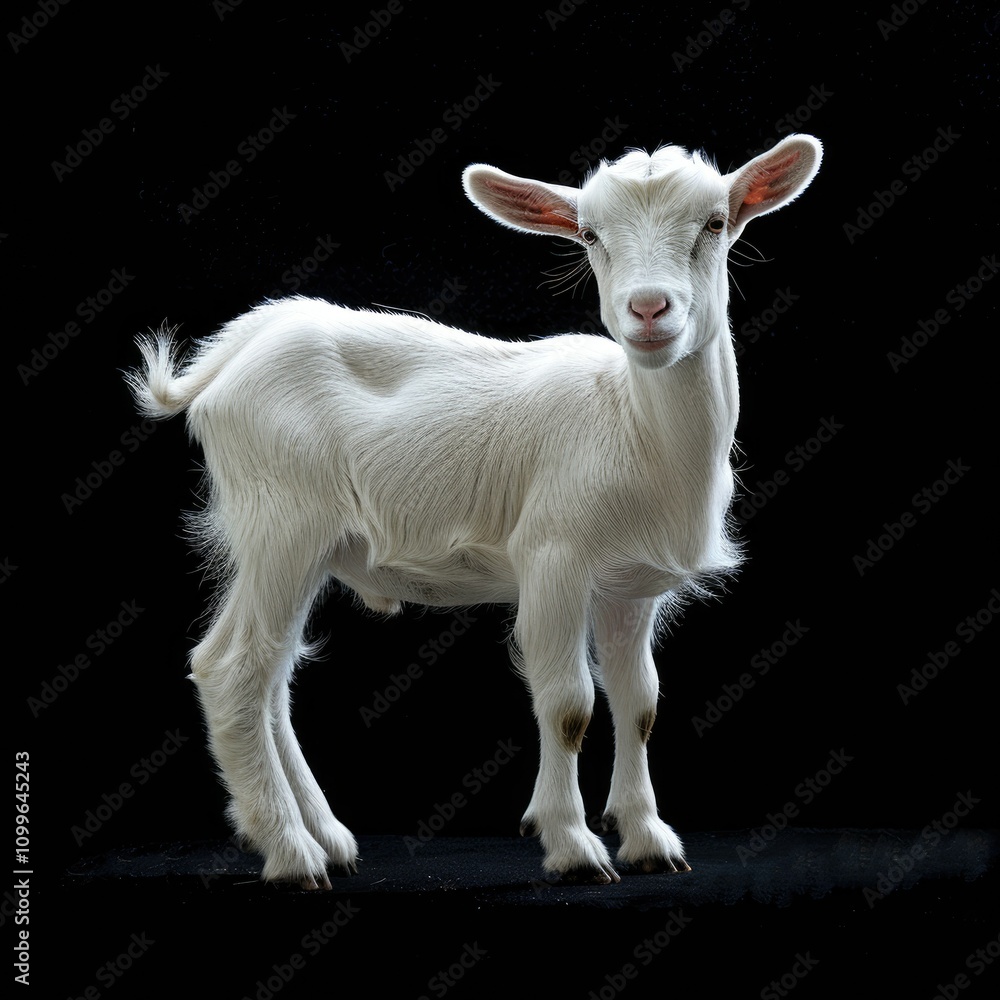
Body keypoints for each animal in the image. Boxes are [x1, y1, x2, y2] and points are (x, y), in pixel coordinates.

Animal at [127, 133, 821, 888]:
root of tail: (234, 353)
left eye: (715, 223)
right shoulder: (553, 558)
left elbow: (640, 705)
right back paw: (290, 852)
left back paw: (325, 836)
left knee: (270, 673)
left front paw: (647, 841)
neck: (634, 426)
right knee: (232, 669)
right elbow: (569, 705)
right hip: (281, 521)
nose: (648, 309)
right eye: (589, 235)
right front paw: (573, 846)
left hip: (295, 540)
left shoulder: (629, 587)